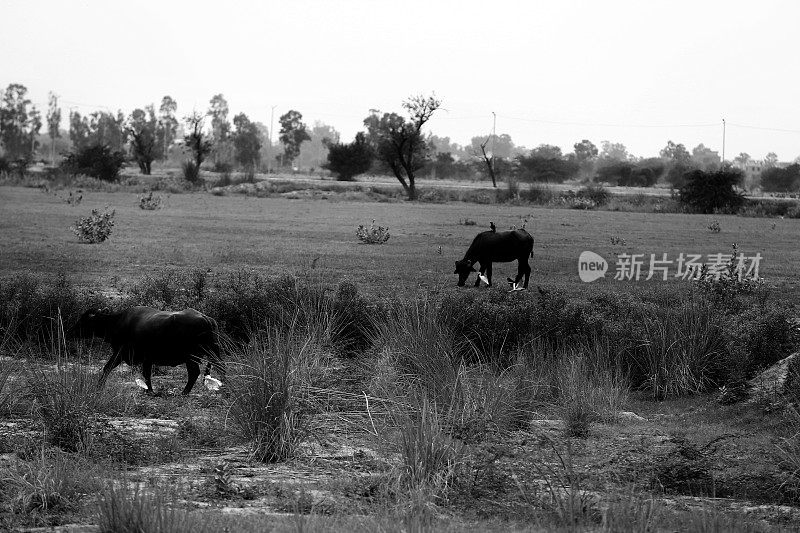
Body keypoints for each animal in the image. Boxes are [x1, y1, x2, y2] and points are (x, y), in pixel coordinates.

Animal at [70, 306, 223, 392]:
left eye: (84, 320)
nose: (72, 330)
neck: (117, 322)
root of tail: (207, 319)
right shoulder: (146, 359)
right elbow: (146, 374)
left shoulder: (120, 352)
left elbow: (107, 367)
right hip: (212, 354)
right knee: (220, 368)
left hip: (191, 357)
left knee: (194, 373)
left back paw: (184, 392)